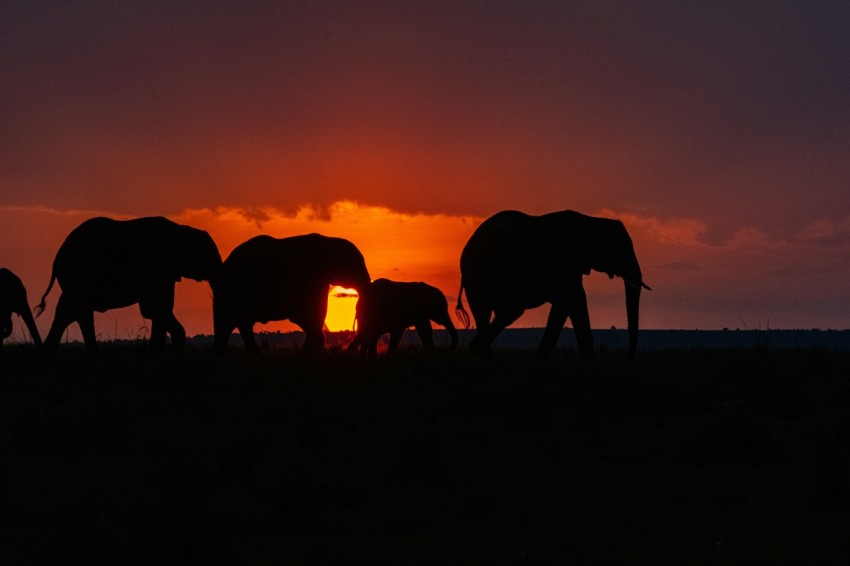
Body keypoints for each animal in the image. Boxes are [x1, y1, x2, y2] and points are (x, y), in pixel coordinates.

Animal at [36, 216, 222, 352]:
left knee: (68, 313)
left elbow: (157, 310)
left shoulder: (165, 273)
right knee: (78, 312)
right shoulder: (156, 268)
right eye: (208, 257)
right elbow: (155, 308)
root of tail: (57, 258)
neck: (181, 230)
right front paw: (163, 351)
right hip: (77, 275)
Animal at [211, 235, 368, 356]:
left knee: (232, 325)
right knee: (235, 323)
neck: (329, 241)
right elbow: (309, 315)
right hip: (234, 291)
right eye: (356, 265)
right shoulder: (309, 278)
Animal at [458, 211, 648, 362]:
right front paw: (591, 361)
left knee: (507, 313)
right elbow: (575, 298)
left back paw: (479, 350)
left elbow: (567, 303)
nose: (628, 358)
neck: (592, 221)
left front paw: (542, 358)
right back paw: (482, 353)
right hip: (481, 275)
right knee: (492, 311)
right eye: (620, 250)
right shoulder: (561, 261)